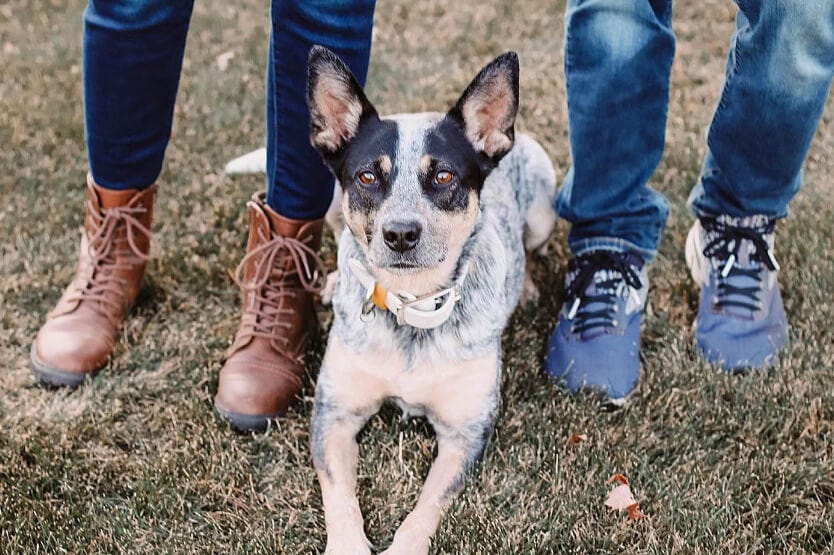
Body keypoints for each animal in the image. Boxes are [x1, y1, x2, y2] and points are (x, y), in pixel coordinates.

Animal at [308, 46, 560, 555]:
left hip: (545, 209)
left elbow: (425, 509)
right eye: (367, 176)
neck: (413, 307)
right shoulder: (333, 413)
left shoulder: (465, 433)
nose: (401, 234)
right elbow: (340, 499)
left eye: (443, 175)